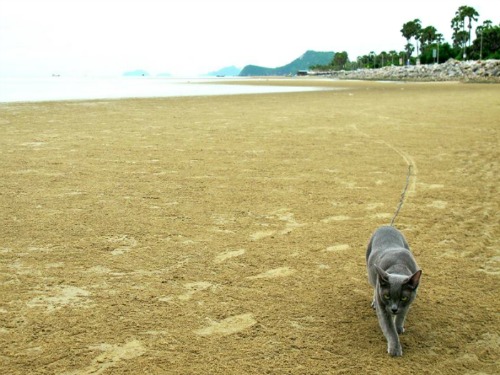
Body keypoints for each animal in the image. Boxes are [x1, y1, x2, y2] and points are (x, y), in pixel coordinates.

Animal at [368, 226, 422, 358]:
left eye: (403, 298)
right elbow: (389, 329)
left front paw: (399, 327)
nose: (394, 309)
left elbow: (402, 315)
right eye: (387, 296)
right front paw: (395, 349)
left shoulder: (409, 302)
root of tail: (387, 226)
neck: (398, 266)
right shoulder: (382, 308)